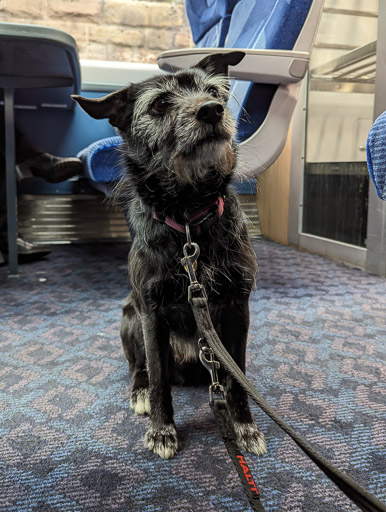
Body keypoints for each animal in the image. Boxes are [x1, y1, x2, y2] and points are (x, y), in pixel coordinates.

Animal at [73, 53, 266, 460]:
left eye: (214, 92)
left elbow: (238, 376)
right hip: (129, 320)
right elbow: (160, 378)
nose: (212, 111)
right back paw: (140, 391)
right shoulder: (151, 313)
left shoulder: (238, 307)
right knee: (140, 368)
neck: (190, 218)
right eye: (160, 104)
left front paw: (244, 426)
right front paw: (162, 431)